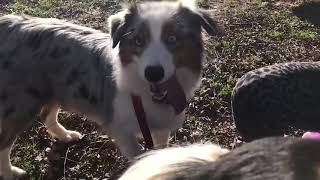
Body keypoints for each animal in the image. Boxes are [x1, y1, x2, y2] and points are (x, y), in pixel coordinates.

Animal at [0, 0, 222, 179]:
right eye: (138, 40)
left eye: (172, 39)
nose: (153, 73)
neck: (144, 95)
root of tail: (8, 22)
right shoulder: (121, 130)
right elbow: (138, 157)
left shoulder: (160, 128)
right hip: (21, 104)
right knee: (4, 141)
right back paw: (11, 173)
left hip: (53, 90)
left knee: (47, 115)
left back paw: (65, 135)